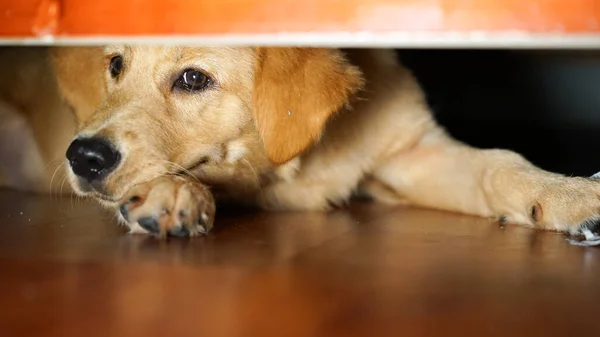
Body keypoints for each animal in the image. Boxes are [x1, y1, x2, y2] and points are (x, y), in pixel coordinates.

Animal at [0, 46, 596, 243]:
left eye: (193, 79)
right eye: (115, 66)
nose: (83, 157)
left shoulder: (411, 151)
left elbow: (500, 163)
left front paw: (569, 195)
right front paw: (172, 192)